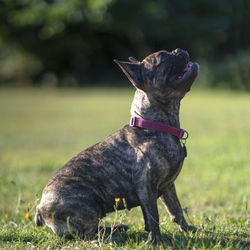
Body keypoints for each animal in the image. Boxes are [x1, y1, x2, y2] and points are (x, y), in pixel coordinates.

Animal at [34, 47, 199, 243]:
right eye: (162, 56)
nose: (178, 49)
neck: (153, 125)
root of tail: (40, 208)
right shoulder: (146, 185)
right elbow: (153, 215)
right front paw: (158, 240)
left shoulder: (167, 185)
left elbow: (175, 209)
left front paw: (187, 230)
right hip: (89, 202)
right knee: (86, 234)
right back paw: (111, 233)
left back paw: (118, 228)